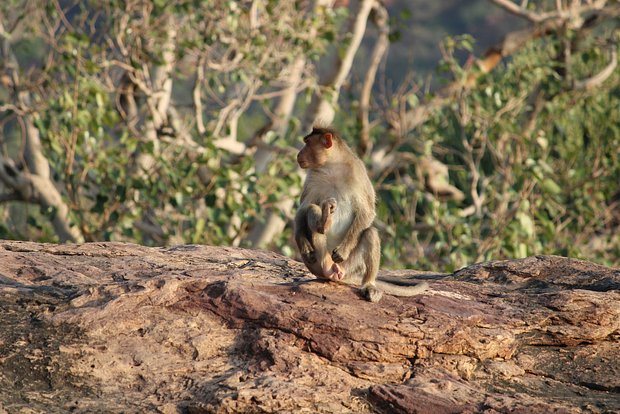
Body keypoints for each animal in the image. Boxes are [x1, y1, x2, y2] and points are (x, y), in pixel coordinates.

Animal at [294, 126, 428, 300]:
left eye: (308, 143)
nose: (298, 154)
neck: (332, 166)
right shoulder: (312, 177)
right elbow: (303, 208)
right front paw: (302, 242)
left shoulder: (358, 173)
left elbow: (367, 211)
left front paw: (343, 250)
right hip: (317, 263)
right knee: (313, 209)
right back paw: (324, 223)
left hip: (349, 266)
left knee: (370, 233)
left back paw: (368, 285)